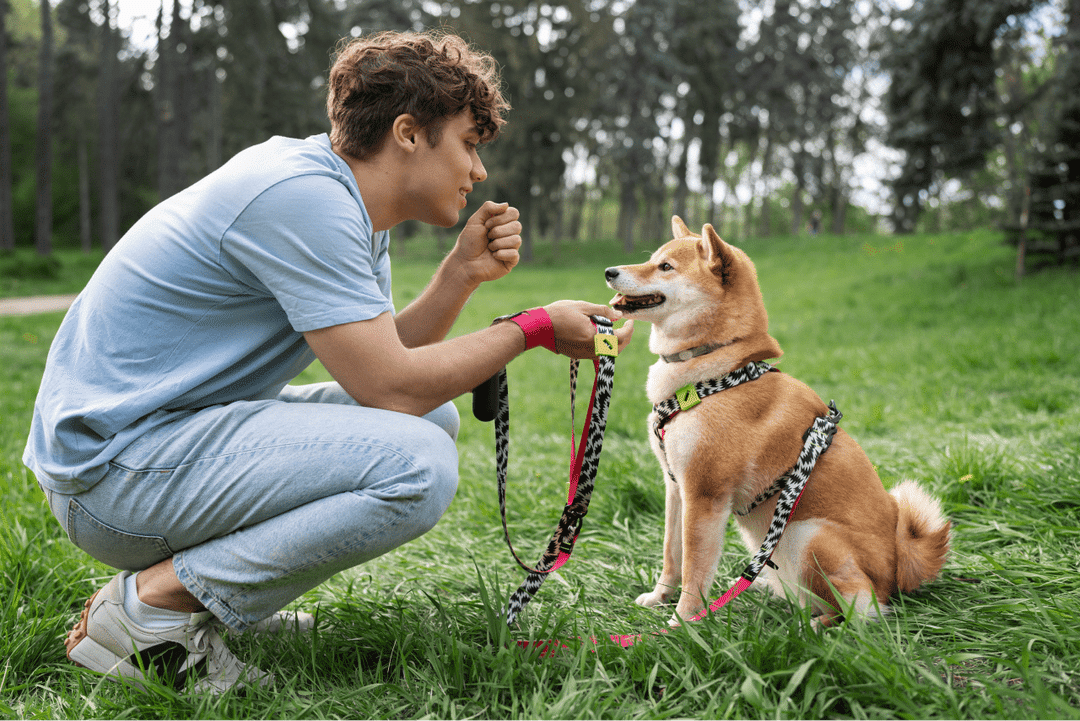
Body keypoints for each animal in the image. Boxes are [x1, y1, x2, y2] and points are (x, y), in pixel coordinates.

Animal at [604, 215, 950, 626]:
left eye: (666, 267)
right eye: (652, 260)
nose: (609, 271)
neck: (716, 370)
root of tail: (899, 569)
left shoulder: (704, 495)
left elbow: (694, 569)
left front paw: (684, 623)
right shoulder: (676, 487)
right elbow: (672, 556)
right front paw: (660, 598)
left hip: (809, 536)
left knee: (864, 609)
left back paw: (818, 626)